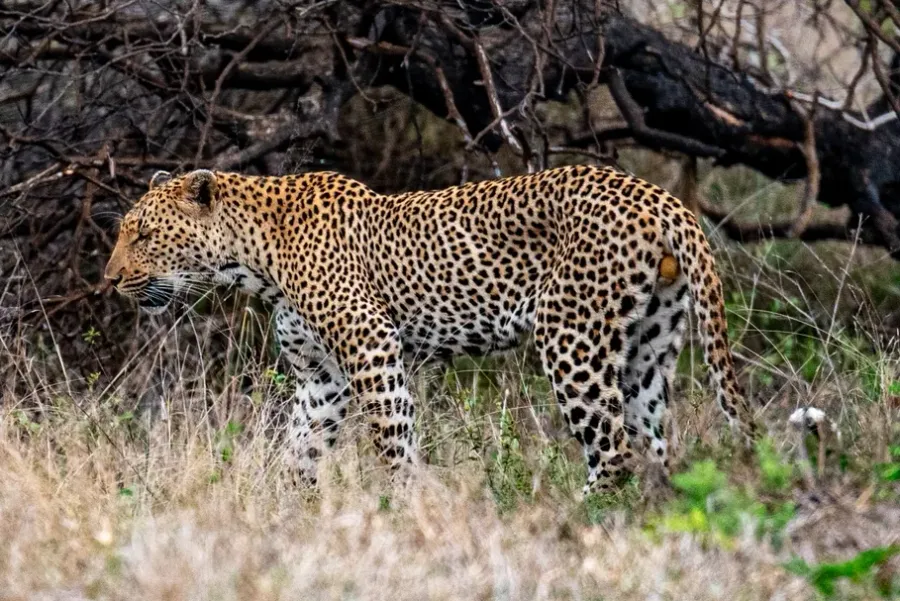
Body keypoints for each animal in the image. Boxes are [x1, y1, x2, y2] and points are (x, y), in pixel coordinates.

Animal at [104, 164, 757, 493]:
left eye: (142, 234)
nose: (109, 280)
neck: (254, 260)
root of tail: (663, 198)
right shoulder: (321, 379)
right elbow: (299, 450)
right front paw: (287, 514)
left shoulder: (371, 344)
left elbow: (392, 440)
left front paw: (408, 508)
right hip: (648, 345)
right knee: (655, 448)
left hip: (571, 338)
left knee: (613, 449)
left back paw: (578, 516)